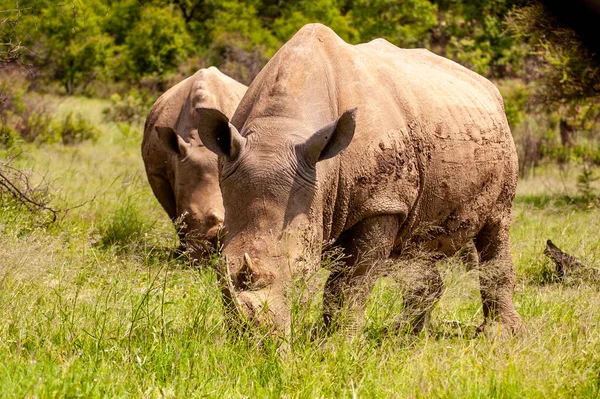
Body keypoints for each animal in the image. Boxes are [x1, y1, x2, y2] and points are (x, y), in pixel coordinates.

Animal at [196, 25, 520, 334]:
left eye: (303, 271)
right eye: (218, 270)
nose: (256, 339)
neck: (279, 130)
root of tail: (486, 85)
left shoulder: (380, 204)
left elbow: (350, 284)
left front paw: (333, 343)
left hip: (500, 143)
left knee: (497, 224)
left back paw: (499, 335)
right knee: (415, 245)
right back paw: (403, 335)